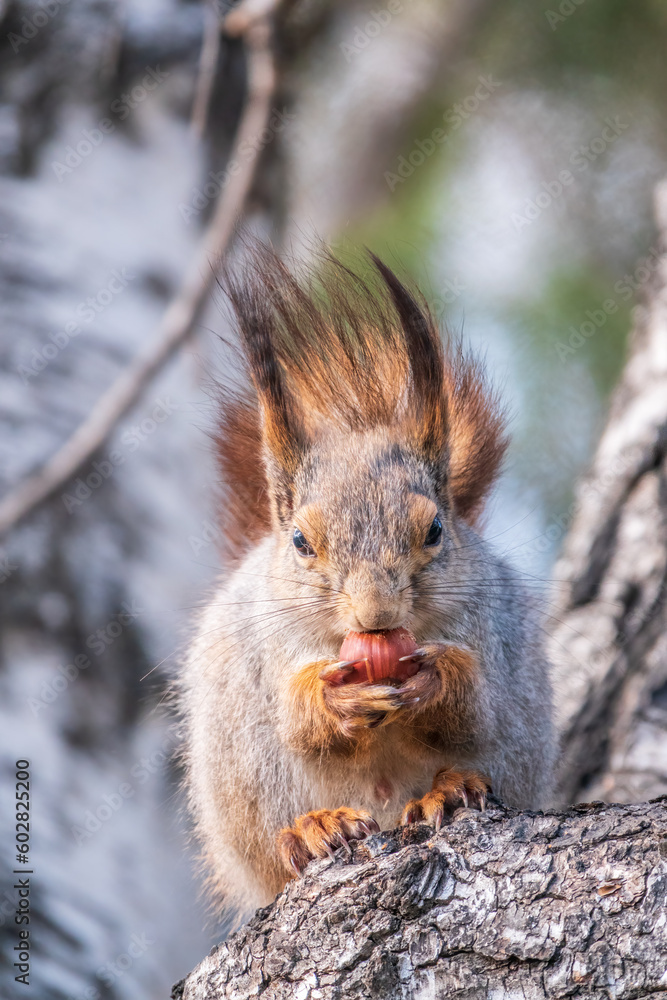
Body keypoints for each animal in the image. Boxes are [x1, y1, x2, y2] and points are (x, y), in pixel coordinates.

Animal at [180, 243, 556, 920]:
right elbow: (301, 722)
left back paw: (447, 791)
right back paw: (314, 828)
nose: (376, 615)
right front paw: (335, 701)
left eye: (435, 530)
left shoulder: (486, 628)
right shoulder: (274, 646)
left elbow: (472, 708)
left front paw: (436, 679)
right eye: (300, 542)